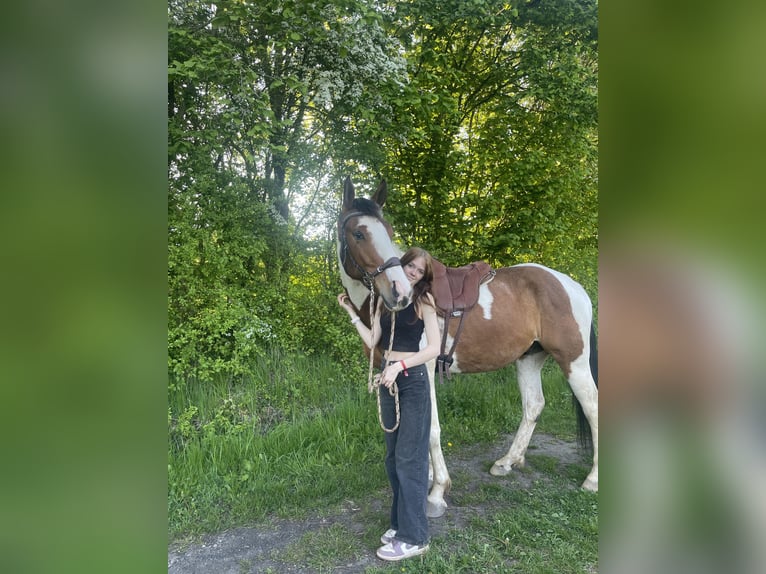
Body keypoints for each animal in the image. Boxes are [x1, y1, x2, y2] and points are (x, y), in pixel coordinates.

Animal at [337, 177, 598, 517]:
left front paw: (437, 492)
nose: (400, 292)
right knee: (533, 405)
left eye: (389, 232)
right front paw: (430, 478)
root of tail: (572, 285)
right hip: (529, 359)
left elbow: (431, 430)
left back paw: (592, 479)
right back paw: (507, 462)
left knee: (592, 405)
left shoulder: (423, 370)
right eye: (358, 233)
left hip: (574, 361)